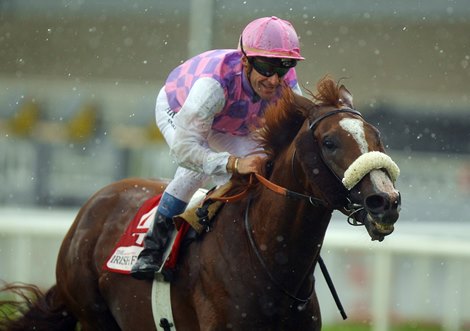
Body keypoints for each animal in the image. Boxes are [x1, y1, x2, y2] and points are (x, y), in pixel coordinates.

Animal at [1, 76, 402, 330]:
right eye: (330, 142)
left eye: (377, 137)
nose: (386, 201)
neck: (269, 262)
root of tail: (89, 210)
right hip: (94, 315)